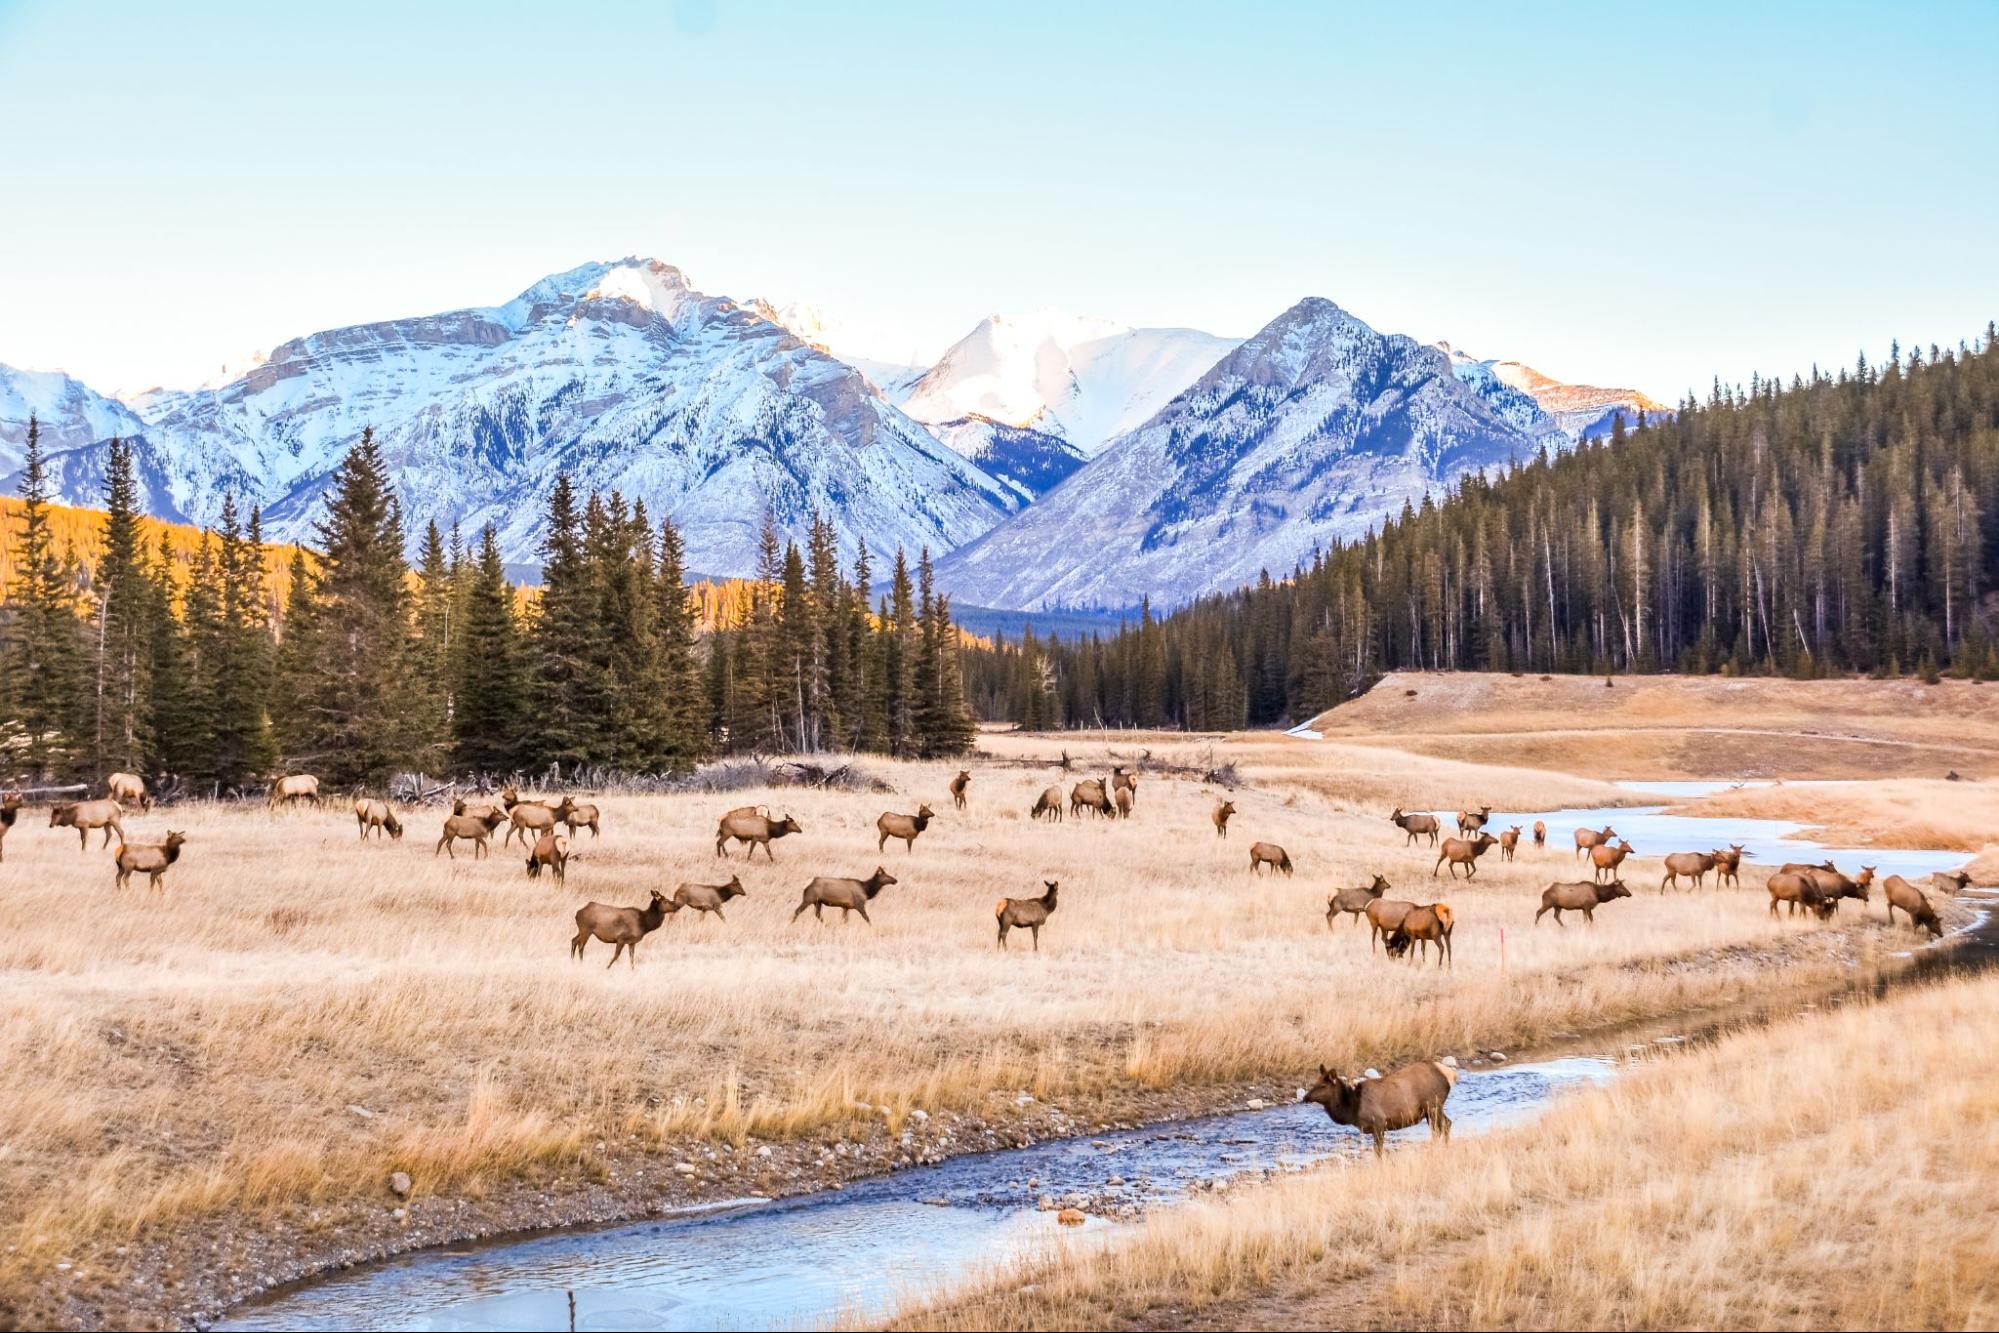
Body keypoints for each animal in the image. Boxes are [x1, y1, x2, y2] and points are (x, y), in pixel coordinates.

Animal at [1302, 1059, 1457, 1157]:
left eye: (1323, 1086)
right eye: (1315, 1082)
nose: (1305, 1097)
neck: (1353, 1108)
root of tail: (1450, 1074)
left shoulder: (1379, 1122)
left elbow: (1378, 1152)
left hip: (1433, 1105)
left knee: (1443, 1126)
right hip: (1431, 1110)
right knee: (1444, 1126)